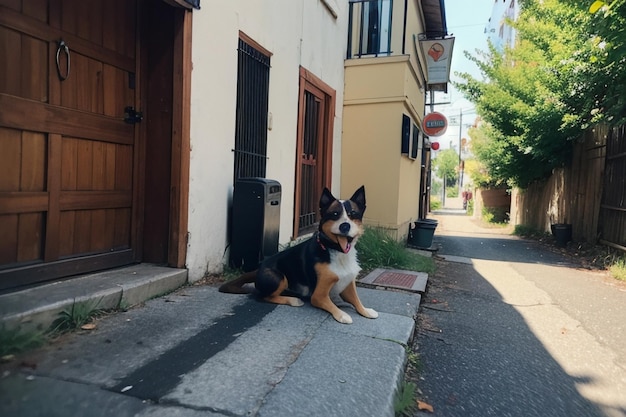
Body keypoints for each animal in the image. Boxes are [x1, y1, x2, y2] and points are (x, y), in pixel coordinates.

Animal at [219, 186, 376, 324]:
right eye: (335, 214)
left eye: (353, 214)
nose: (345, 226)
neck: (335, 250)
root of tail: (259, 269)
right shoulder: (319, 295)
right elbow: (330, 304)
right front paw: (342, 315)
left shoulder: (348, 283)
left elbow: (356, 300)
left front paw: (366, 310)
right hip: (279, 277)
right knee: (264, 296)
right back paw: (293, 300)